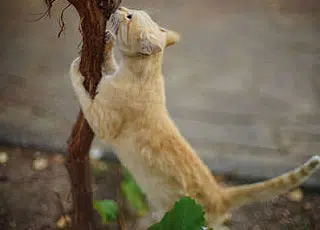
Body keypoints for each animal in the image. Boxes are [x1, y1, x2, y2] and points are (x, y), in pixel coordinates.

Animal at [70, 6, 320, 229]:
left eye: (130, 16)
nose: (119, 7)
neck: (146, 73)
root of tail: (220, 194)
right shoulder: (113, 74)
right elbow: (109, 63)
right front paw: (108, 44)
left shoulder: (103, 122)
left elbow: (81, 90)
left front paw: (75, 68)